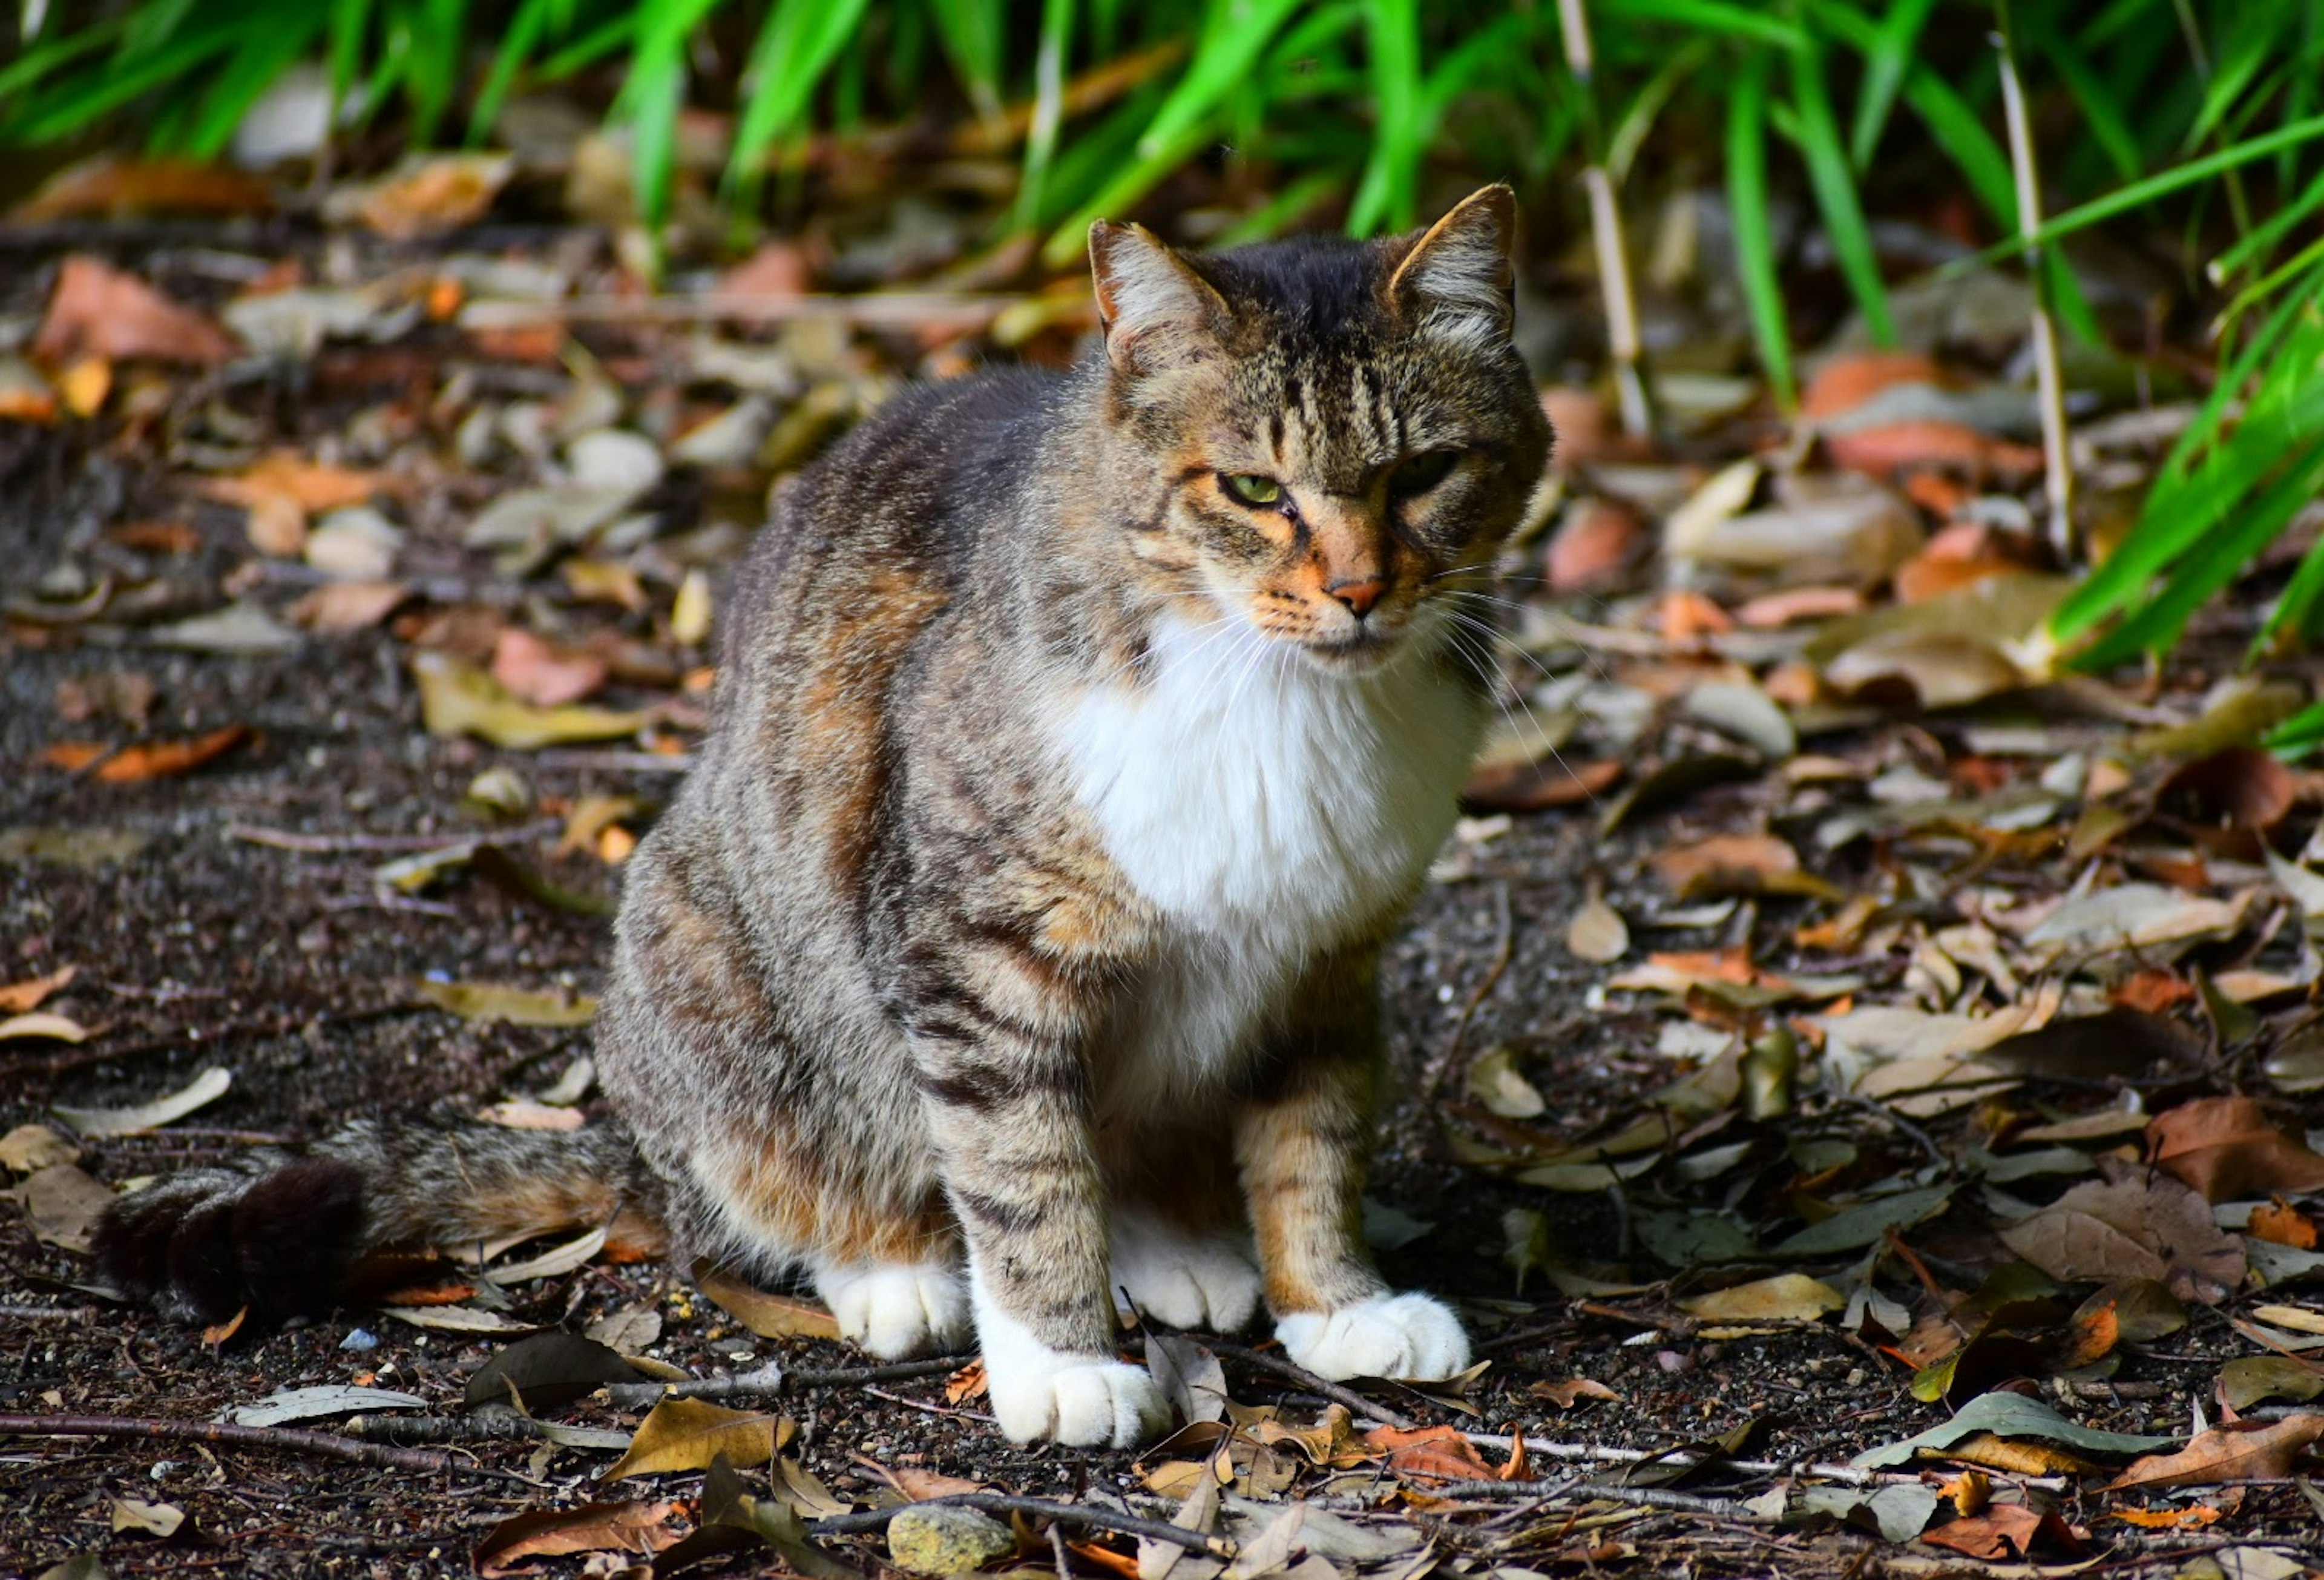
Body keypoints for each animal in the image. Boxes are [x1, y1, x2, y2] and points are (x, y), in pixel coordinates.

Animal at [104, 185, 1561, 1440]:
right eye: (1255, 491)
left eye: (1427, 472)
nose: (1362, 591)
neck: (1270, 691)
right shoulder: (972, 954)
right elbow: (1022, 1171)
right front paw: (1060, 1364)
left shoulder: (1326, 958)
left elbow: (1314, 1143)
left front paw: (1340, 1306)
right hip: (704, 938)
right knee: (773, 1177)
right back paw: (893, 1269)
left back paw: (1178, 1245)